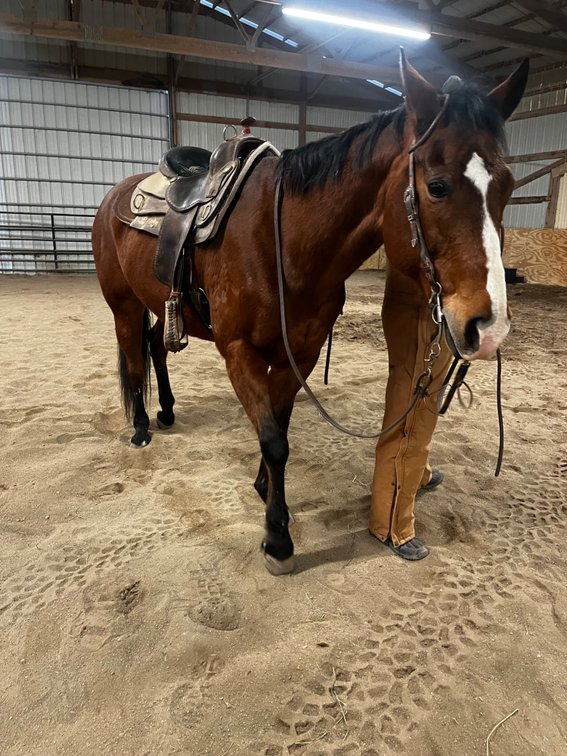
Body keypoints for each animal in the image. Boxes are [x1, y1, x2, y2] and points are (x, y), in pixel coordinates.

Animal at [92, 53, 528, 574]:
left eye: (508, 186)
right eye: (437, 186)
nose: (488, 326)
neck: (281, 239)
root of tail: (117, 196)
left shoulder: (297, 353)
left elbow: (278, 429)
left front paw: (264, 489)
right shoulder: (239, 352)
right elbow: (273, 440)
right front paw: (278, 538)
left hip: (161, 305)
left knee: (156, 348)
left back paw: (167, 411)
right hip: (124, 304)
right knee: (134, 359)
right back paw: (141, 428)